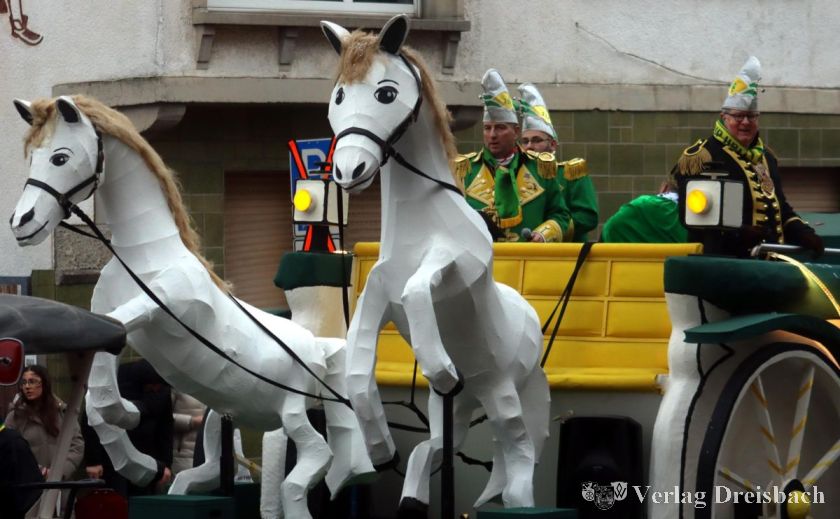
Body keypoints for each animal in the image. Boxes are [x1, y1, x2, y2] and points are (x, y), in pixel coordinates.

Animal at [9, 95, 374, 519]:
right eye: (32, 156)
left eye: (60, 157)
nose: (21, 222)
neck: (146, 256)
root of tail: (319, 349)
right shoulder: (117, 324)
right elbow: (98, 394)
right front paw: (139, 459)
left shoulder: (166, 303)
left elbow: (105, 387)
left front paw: (130, 418)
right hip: (226, 417)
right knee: (212, 469)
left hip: (293, 411)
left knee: (314, 460)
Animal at [321, 15, 551, 511]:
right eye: (339, 95)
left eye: (387, 93)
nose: (348, 172)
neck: (420, 227)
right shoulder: (378, 293)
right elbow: (357, 364)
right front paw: (380, 446)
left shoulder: (457, 265)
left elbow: (419, 287)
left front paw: (440, 364)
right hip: (459, 409)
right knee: (434, 448)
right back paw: (412, 495)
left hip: (503, 392)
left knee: (519, 453)